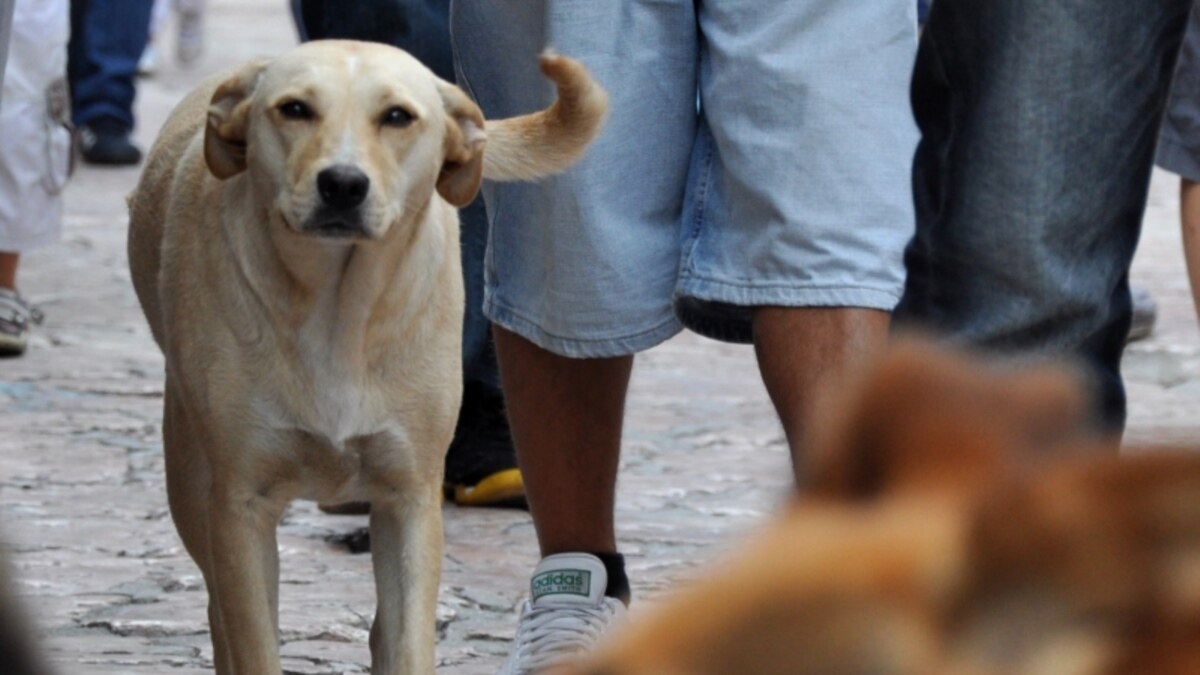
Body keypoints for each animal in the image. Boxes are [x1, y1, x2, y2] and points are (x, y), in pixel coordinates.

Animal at [129, 40, 609, 672]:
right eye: (295, 109)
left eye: (398, 117)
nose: (342, 183)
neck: (338, 312)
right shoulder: (239, 508)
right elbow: (253, 638)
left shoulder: (411, 502)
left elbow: (405, 640)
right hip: (189, 477)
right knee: (217, 607)